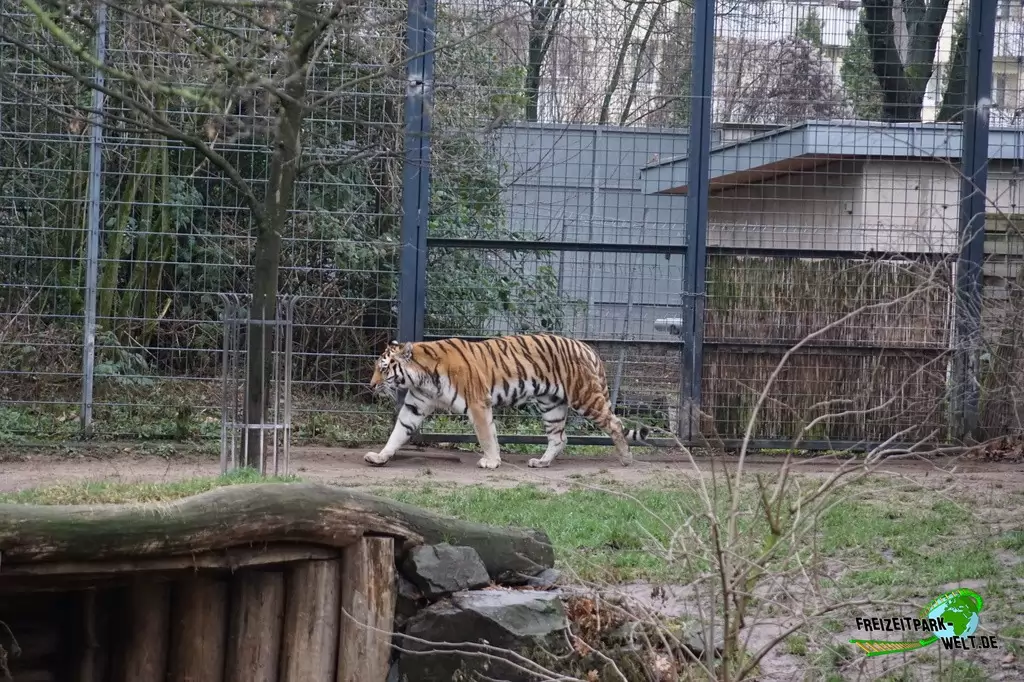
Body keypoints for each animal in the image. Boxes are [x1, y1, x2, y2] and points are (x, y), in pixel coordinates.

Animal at [366, 333, 650, 469]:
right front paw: (380, 456)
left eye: (383, 368)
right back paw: (542, 462)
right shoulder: (415, 406)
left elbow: (485, 436)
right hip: (551, 404)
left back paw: (626, 459)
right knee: (560, 437)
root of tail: (588, 348)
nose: (371, 385)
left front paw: (491, 462)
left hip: (585, 396)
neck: (421, 377)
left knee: (614, 423)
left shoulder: (478, 403)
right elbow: (398, 432)